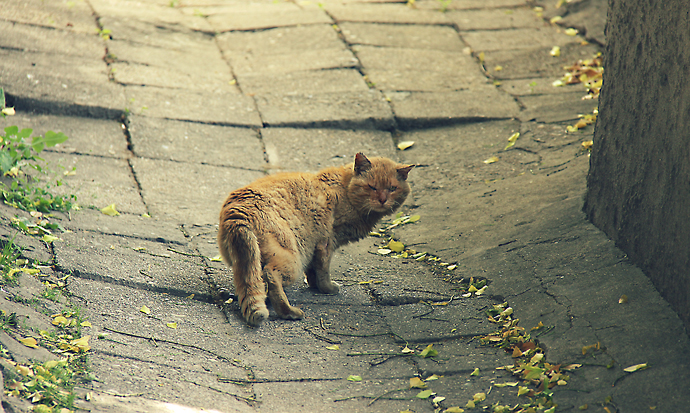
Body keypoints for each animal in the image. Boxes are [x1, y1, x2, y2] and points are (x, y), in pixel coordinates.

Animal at [218, 151, 412, 326]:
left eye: (392, 189)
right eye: (372, 187)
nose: (382, 200)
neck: (344, 190)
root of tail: (239, 214)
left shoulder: (314, 246)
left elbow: (313, 270)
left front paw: (314, 286)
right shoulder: (327, 243)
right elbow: (323, 271)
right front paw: (327, 288)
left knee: (255, 280)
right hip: (291, 258)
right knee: (271, 276)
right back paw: (289, 312)